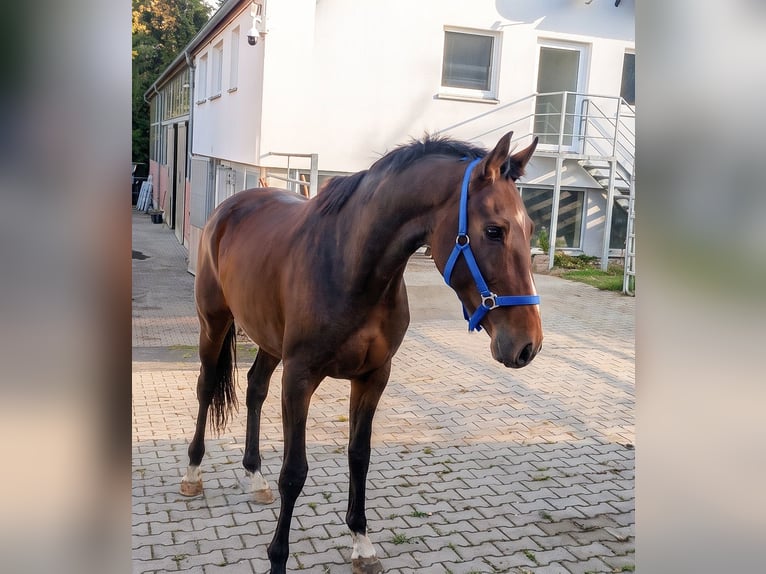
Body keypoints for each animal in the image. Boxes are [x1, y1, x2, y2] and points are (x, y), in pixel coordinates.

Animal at [180, 131, 543, 573]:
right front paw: (278, 558)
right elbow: (294, 473)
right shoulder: (299, 378)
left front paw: (361, 542)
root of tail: (230, 207)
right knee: (205, 387)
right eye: (494, 230)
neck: (351, 266)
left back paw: (254, 476)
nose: (527, 344)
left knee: (254, 388)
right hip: (213, 323)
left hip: (268, 341)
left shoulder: (374, 376)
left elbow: (359, 456)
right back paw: (193, 472)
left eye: (530, 227)